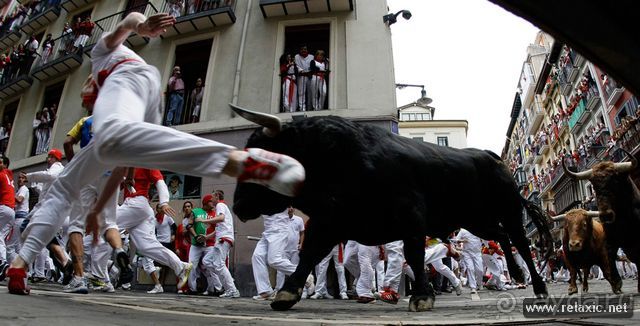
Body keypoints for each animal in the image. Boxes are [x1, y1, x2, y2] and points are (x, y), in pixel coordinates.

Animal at [232, 105, 552, 312]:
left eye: (262, 157)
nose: (237, 206)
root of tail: (491, 156)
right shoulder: (330, 220)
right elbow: (309, 253)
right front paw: (287, 293)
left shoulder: (411, 217)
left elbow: (414, 254)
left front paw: (421, 297)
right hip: (476, 220)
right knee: (502, 236)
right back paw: (518, 276)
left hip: (509, 210)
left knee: (521, 242)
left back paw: (538, 286)